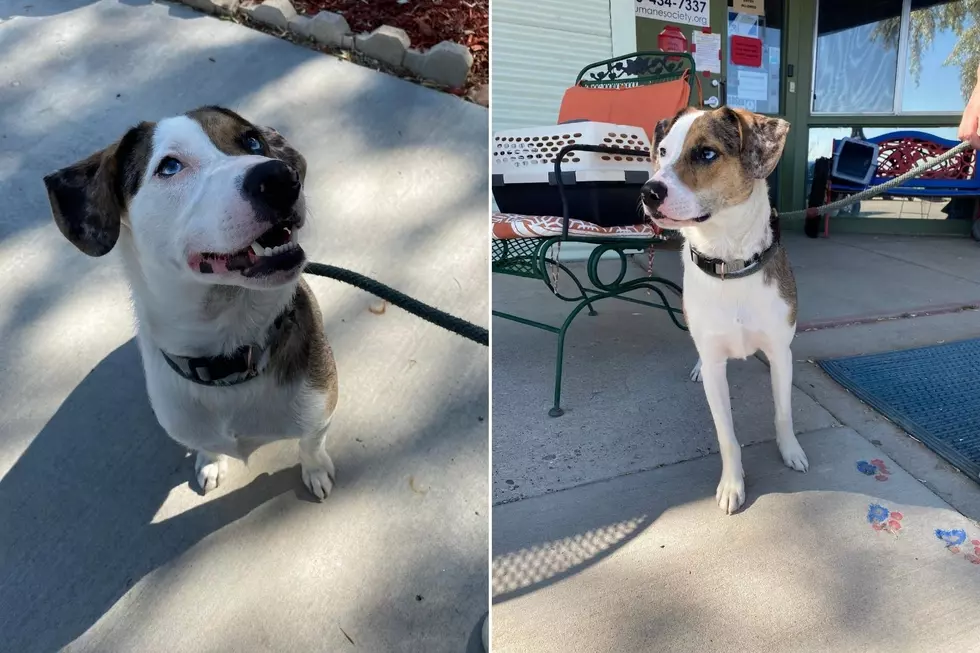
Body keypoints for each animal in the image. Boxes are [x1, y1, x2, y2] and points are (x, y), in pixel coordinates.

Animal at [44, 104, 338, 496]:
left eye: (253, 141)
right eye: (169, 166)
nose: (279, 177)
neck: (228, 357)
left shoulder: (321, 411)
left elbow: (311, 443)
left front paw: (315, 470)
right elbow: (206, 446)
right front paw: (211, 462)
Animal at [644, 107, 804, 516]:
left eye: (706, 153)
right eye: (663, 152)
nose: (648, 191)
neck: (729, 261)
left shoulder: (780, 352)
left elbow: (783, 412)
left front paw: (791, 451)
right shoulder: (717, 364)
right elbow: (726, 434)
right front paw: (733, 484)